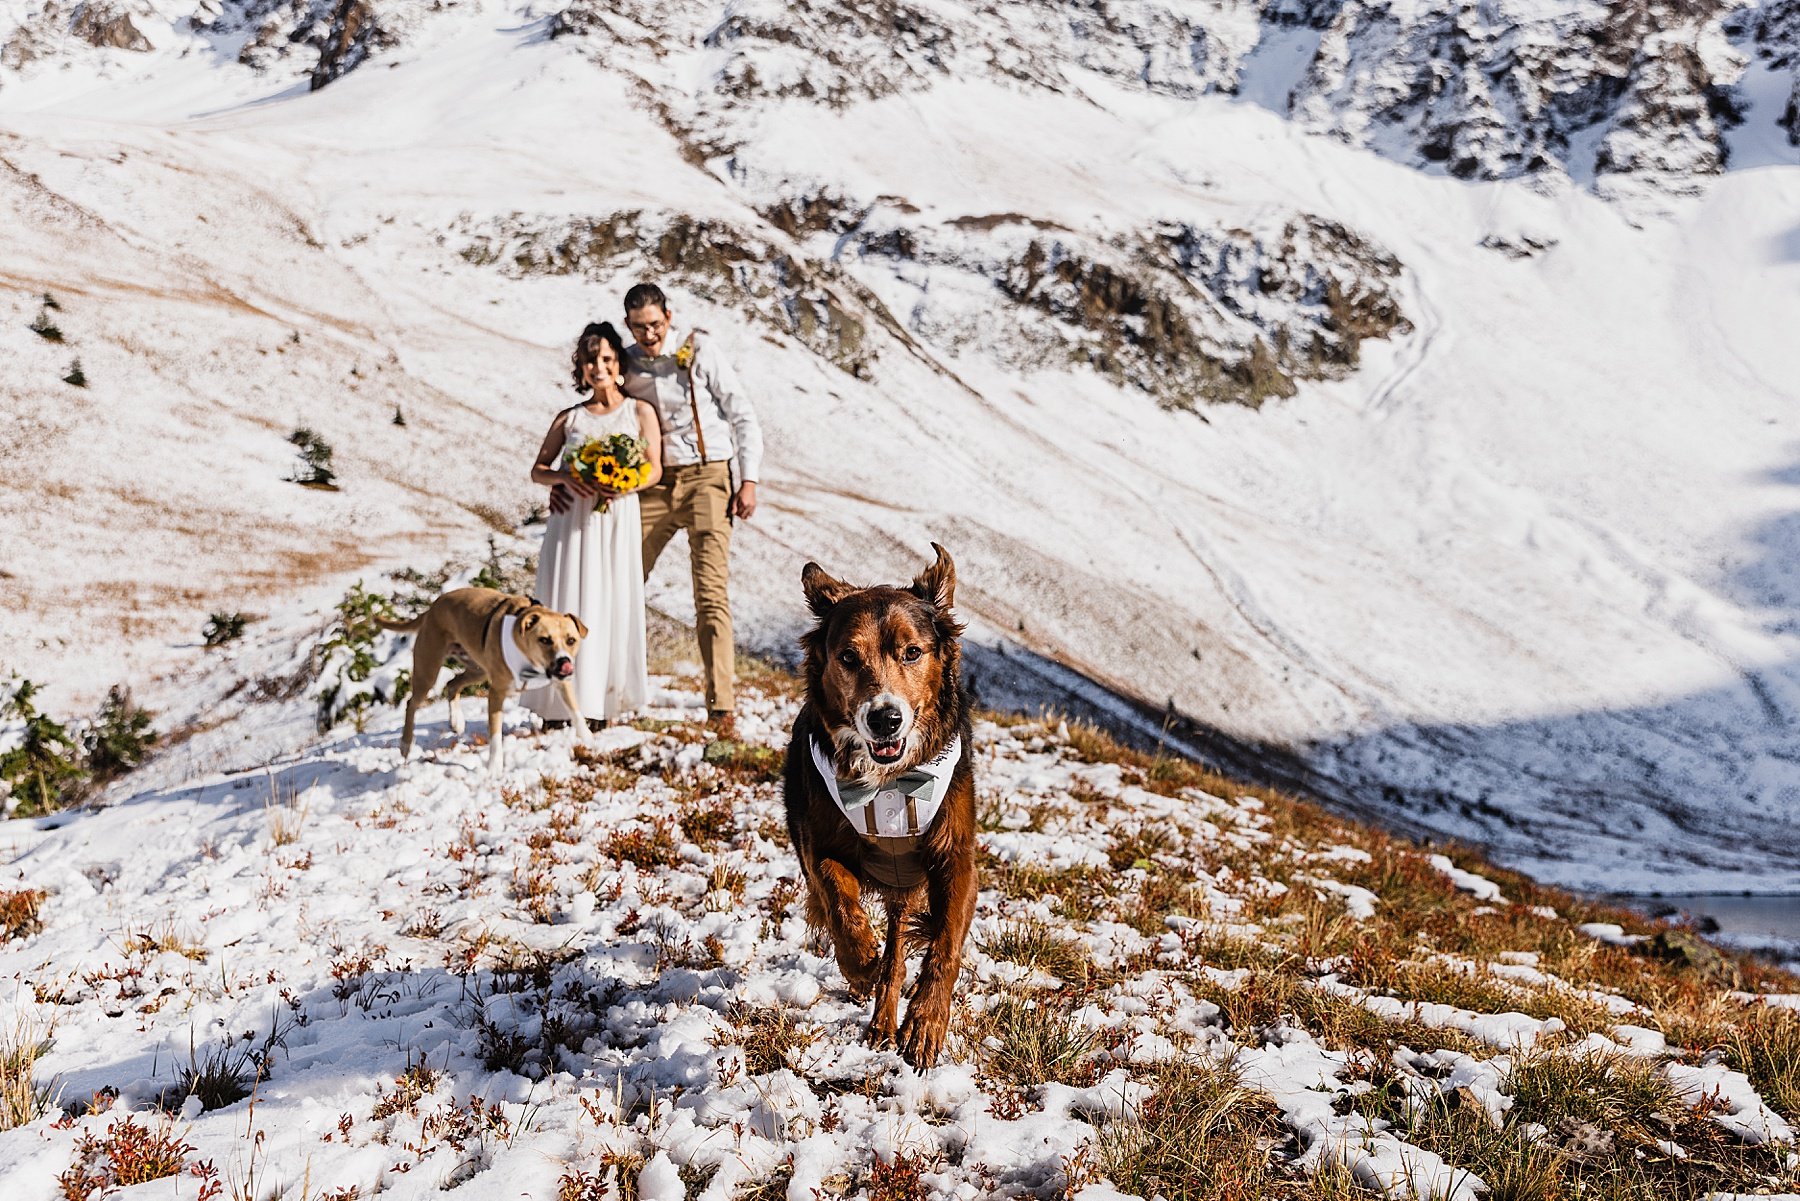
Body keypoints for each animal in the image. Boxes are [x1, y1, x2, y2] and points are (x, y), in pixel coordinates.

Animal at [379, 590, 590, 774]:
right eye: (544, 640)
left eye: (571, 640)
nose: (564, 662)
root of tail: (432, 608)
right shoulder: (496, 693)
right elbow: (495, 735)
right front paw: (494, 768)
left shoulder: (561, 682)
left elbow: (576, 711)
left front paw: (589, 740)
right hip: (428, 670)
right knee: (411, 703)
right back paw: (406, 744)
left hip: (478, 670)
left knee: (452, 683)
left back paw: (456, 721)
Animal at [784, 543, 979, 1073]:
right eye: (849, 657)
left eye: (912, 652)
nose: (885, 719)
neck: (888, 785)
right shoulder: (818, 846)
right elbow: (837, 898)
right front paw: (858, 961)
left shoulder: (955, 858)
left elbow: (945, 943)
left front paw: (927, 1022)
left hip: (904, 889)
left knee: (899, 953)